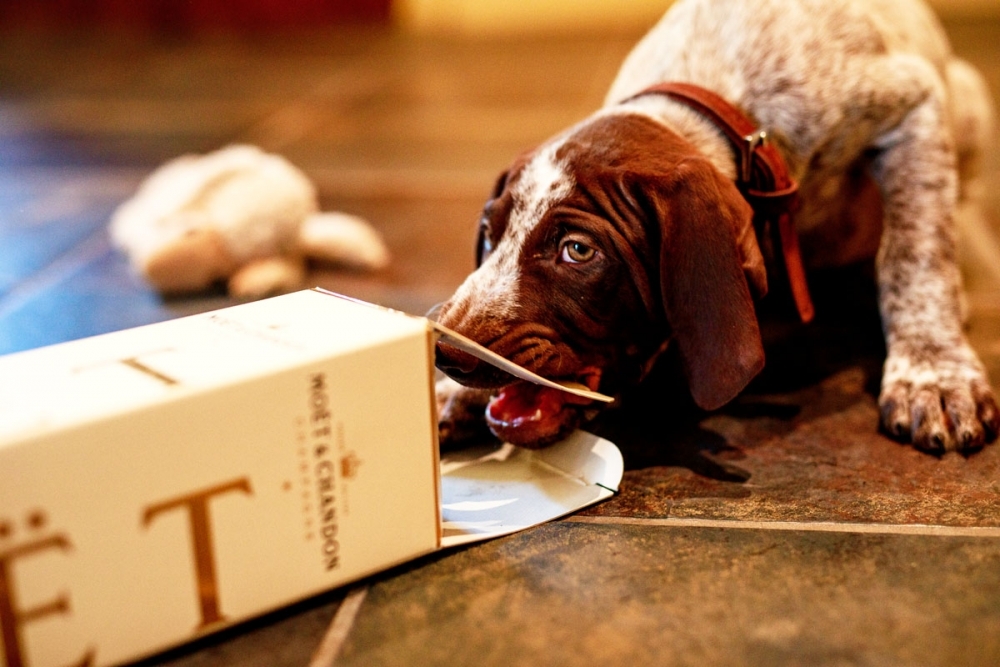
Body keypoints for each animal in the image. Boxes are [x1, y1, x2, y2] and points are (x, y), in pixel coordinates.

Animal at [434, 0, 996, 454]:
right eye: (489, 233)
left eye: (577, 251)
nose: (447, 353)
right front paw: (453, 395)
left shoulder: (912, 108)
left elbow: (916, 255)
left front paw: (933, 374)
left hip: (967, 104)